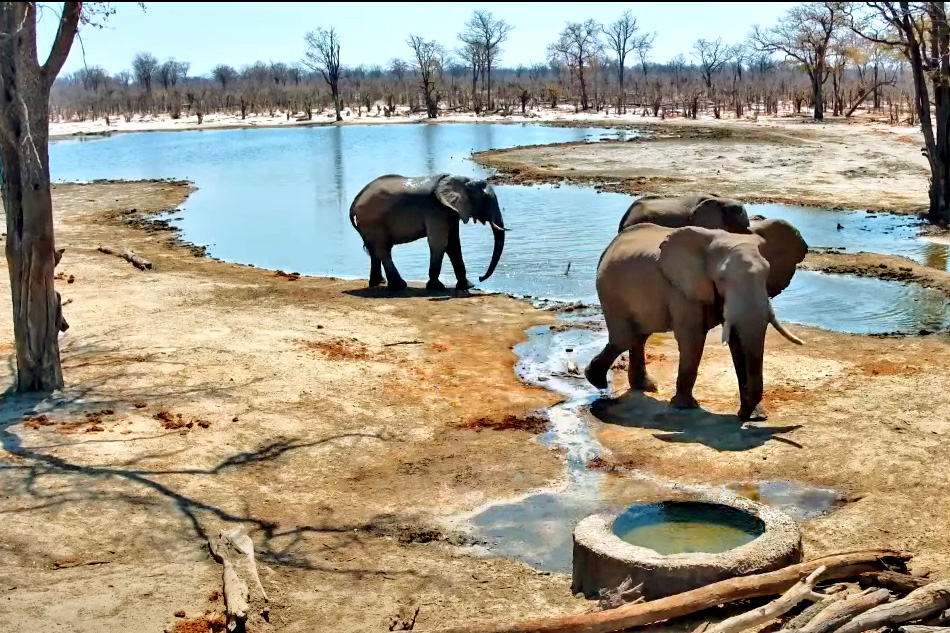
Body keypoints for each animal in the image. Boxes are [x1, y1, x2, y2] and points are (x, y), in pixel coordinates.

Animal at [350, 173, 510, 292]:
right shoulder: (437, 210)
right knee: (382, 249)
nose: (480, 278)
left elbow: (454, 245)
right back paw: (399, 286)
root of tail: (353, 204)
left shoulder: (451, 211)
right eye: (486, 199)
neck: (460, 179)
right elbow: (440, 243)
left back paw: (378, 283)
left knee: (375, 250)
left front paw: (467, 286)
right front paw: (436, 287)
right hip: (373, 221)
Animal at [588, 217, 812, 420]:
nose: (744, 416)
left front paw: (753, 415)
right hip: (610, 290)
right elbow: (693, 339)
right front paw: (686, 406)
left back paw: (644, 386)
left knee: (639, 336)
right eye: (722, 278)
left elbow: (738, 341)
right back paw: (597, 381)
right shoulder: (682, 290)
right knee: (625, 338)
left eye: (767, 274)